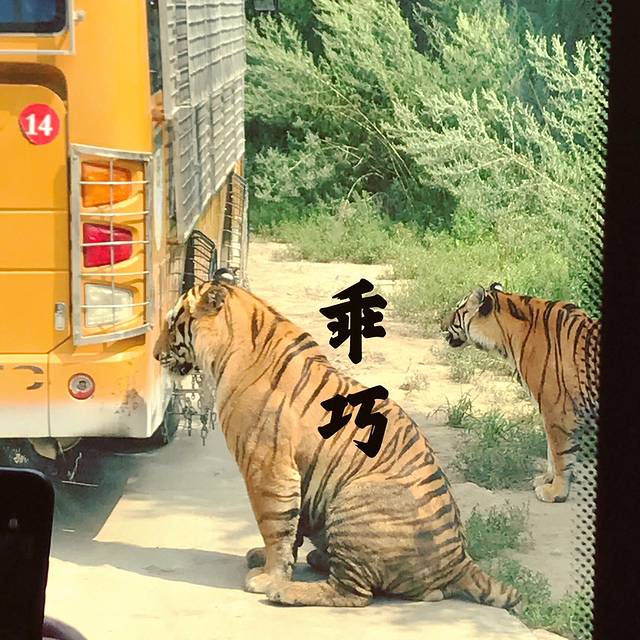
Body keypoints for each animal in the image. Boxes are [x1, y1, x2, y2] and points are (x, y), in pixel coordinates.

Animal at [153, 271, 520, 609]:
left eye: (172, 322)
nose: (155, 355)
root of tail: (461, 560)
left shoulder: (267, 468)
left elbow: (274, 525)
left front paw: (270, 577)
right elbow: (291, 526)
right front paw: (268, 560)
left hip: (355, 501)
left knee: (353, 594)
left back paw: (287, 592)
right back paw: (319, 560)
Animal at [442, 282, 600, 503]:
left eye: (457, 310)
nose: (441, 325)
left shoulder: (557, 411)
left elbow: (560, 454)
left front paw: (555, 492)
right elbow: (551, 452)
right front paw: (546, 480)